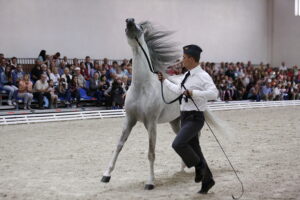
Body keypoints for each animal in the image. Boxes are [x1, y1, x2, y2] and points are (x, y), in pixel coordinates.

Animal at [101, 18, 223, 190]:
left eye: (141, 26)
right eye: (127, 25)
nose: (129, 21)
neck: (142, 87)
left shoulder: (151, 123)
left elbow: (151, 152)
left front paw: (150, 182)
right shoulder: (129, 120)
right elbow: (119, 145)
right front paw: (106, 175)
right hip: (175, 122)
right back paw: (183, 168)